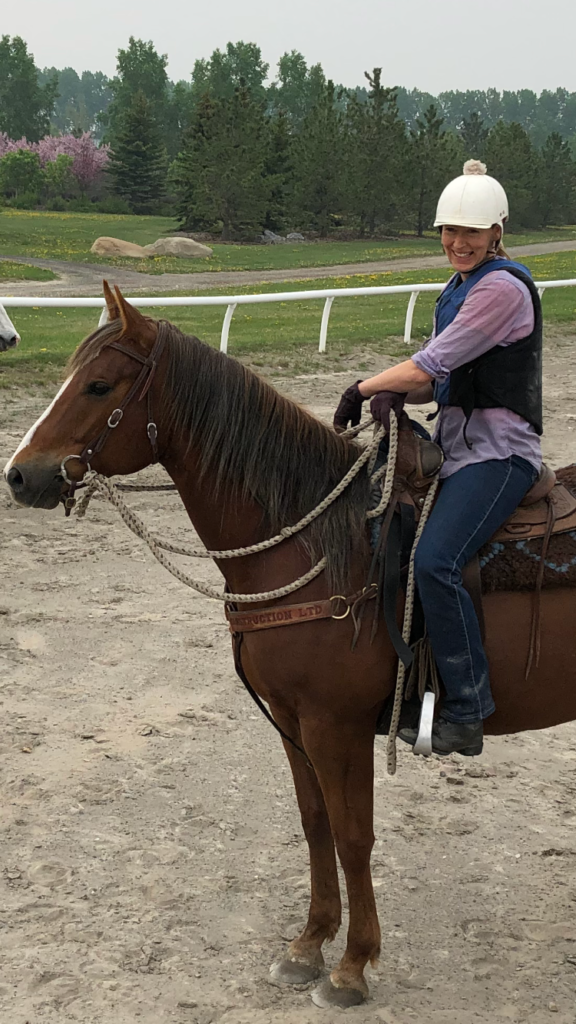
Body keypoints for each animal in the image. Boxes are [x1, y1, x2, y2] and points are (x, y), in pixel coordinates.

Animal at [3, 284, 573, 1011]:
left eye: (99, 385)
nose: (21, 476)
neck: (312, 543)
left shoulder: (337, 726)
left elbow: (354, 835)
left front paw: (353, 966)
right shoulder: (293, 721)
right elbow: (315, 822)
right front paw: (309, 944)